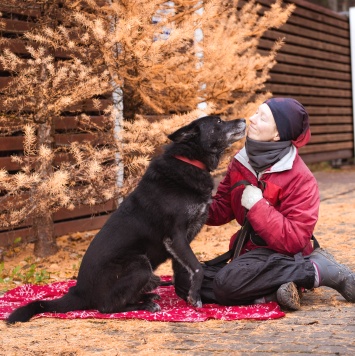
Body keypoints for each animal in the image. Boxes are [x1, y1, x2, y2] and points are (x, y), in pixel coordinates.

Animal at [6, 116, 245, 322]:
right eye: (218, 122)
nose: (243, 119)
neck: (190, 160)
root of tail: (79, 292)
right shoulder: (176, 236)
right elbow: (197, 267)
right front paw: (195, 297)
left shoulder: (179, 245)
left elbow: (182, 272)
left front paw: (188, 298)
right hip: (140, 264)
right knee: (106, 307)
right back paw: (144, 304)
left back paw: (147, 296)